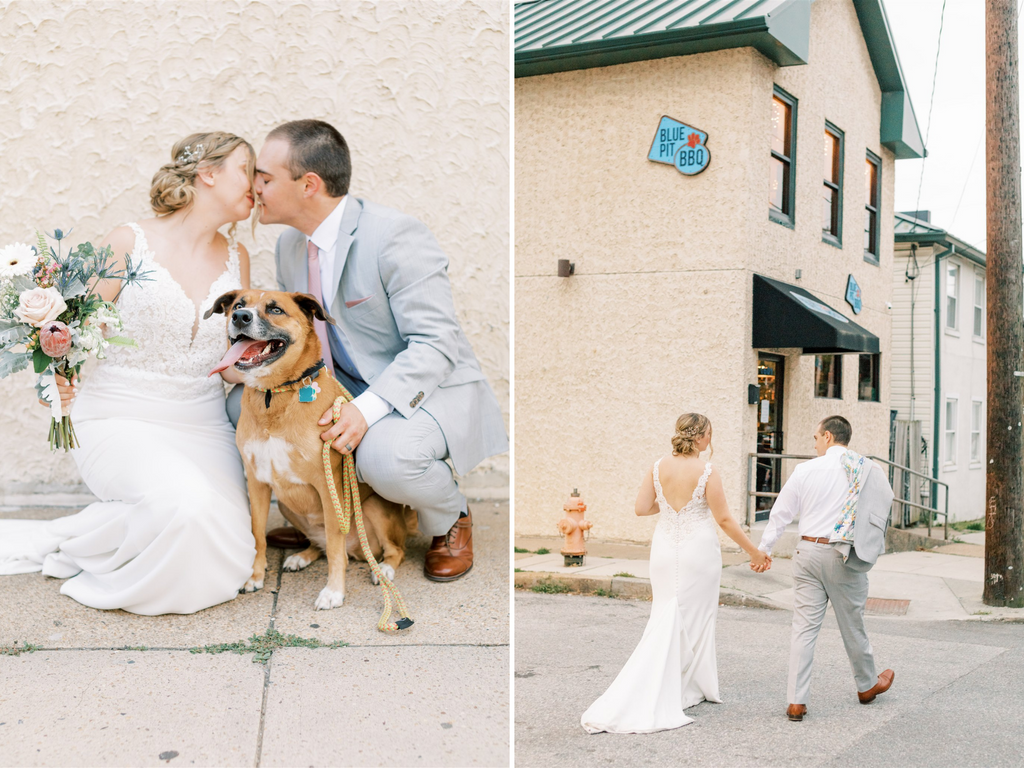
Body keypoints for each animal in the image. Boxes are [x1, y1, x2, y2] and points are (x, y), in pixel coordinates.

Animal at [201, 288, 413, 614]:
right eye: (238, 305)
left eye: (275, 309)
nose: (240, 317)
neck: (275, 395)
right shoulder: (257, 483)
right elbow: (257, 534)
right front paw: (255, 576)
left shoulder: (330, 487)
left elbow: (336, 546)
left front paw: (334, 592)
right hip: (289, 505)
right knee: (322, 544)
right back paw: (302, 556)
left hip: (374, 509)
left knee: (391, 549)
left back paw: (384, 569)